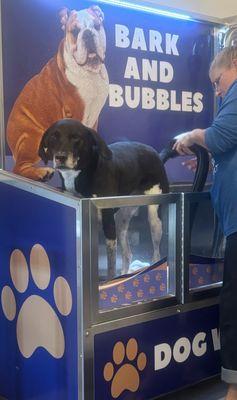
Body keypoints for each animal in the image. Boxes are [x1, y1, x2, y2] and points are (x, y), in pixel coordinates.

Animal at [39, 117, 169, 276]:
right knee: (127, 254)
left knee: (156, 254)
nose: (60, 157)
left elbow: (110, 267)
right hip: (121, 221)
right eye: (53, 137)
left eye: (76, 137)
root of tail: (156, 154)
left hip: (154, 219)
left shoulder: (109, 227)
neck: (79, 175)